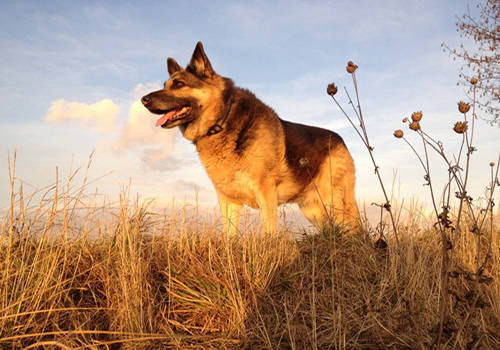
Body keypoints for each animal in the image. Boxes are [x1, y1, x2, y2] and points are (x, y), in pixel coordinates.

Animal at [142, 42, 360, 234]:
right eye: (165, 85)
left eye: (179, 84)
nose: (143, 100)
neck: (222, 120)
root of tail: (340, 140)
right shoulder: (228, 202)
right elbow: (229, 237)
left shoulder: (266, 194)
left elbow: (268, 235)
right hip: (314, 210)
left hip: (336, 203)